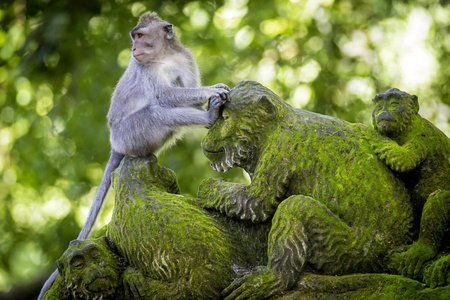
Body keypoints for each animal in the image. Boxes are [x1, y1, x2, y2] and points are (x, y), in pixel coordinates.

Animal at [37, 10, 229, 298]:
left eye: (140, 35)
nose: (134, 48)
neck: (164, 56)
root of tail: (115, 144)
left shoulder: (185, 57)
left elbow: (185, 91)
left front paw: (207, 96)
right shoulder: (144, 69)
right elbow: (165, 95)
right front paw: (211, 92)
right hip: (131, 134)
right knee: (156, 111)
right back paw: (209, 117)